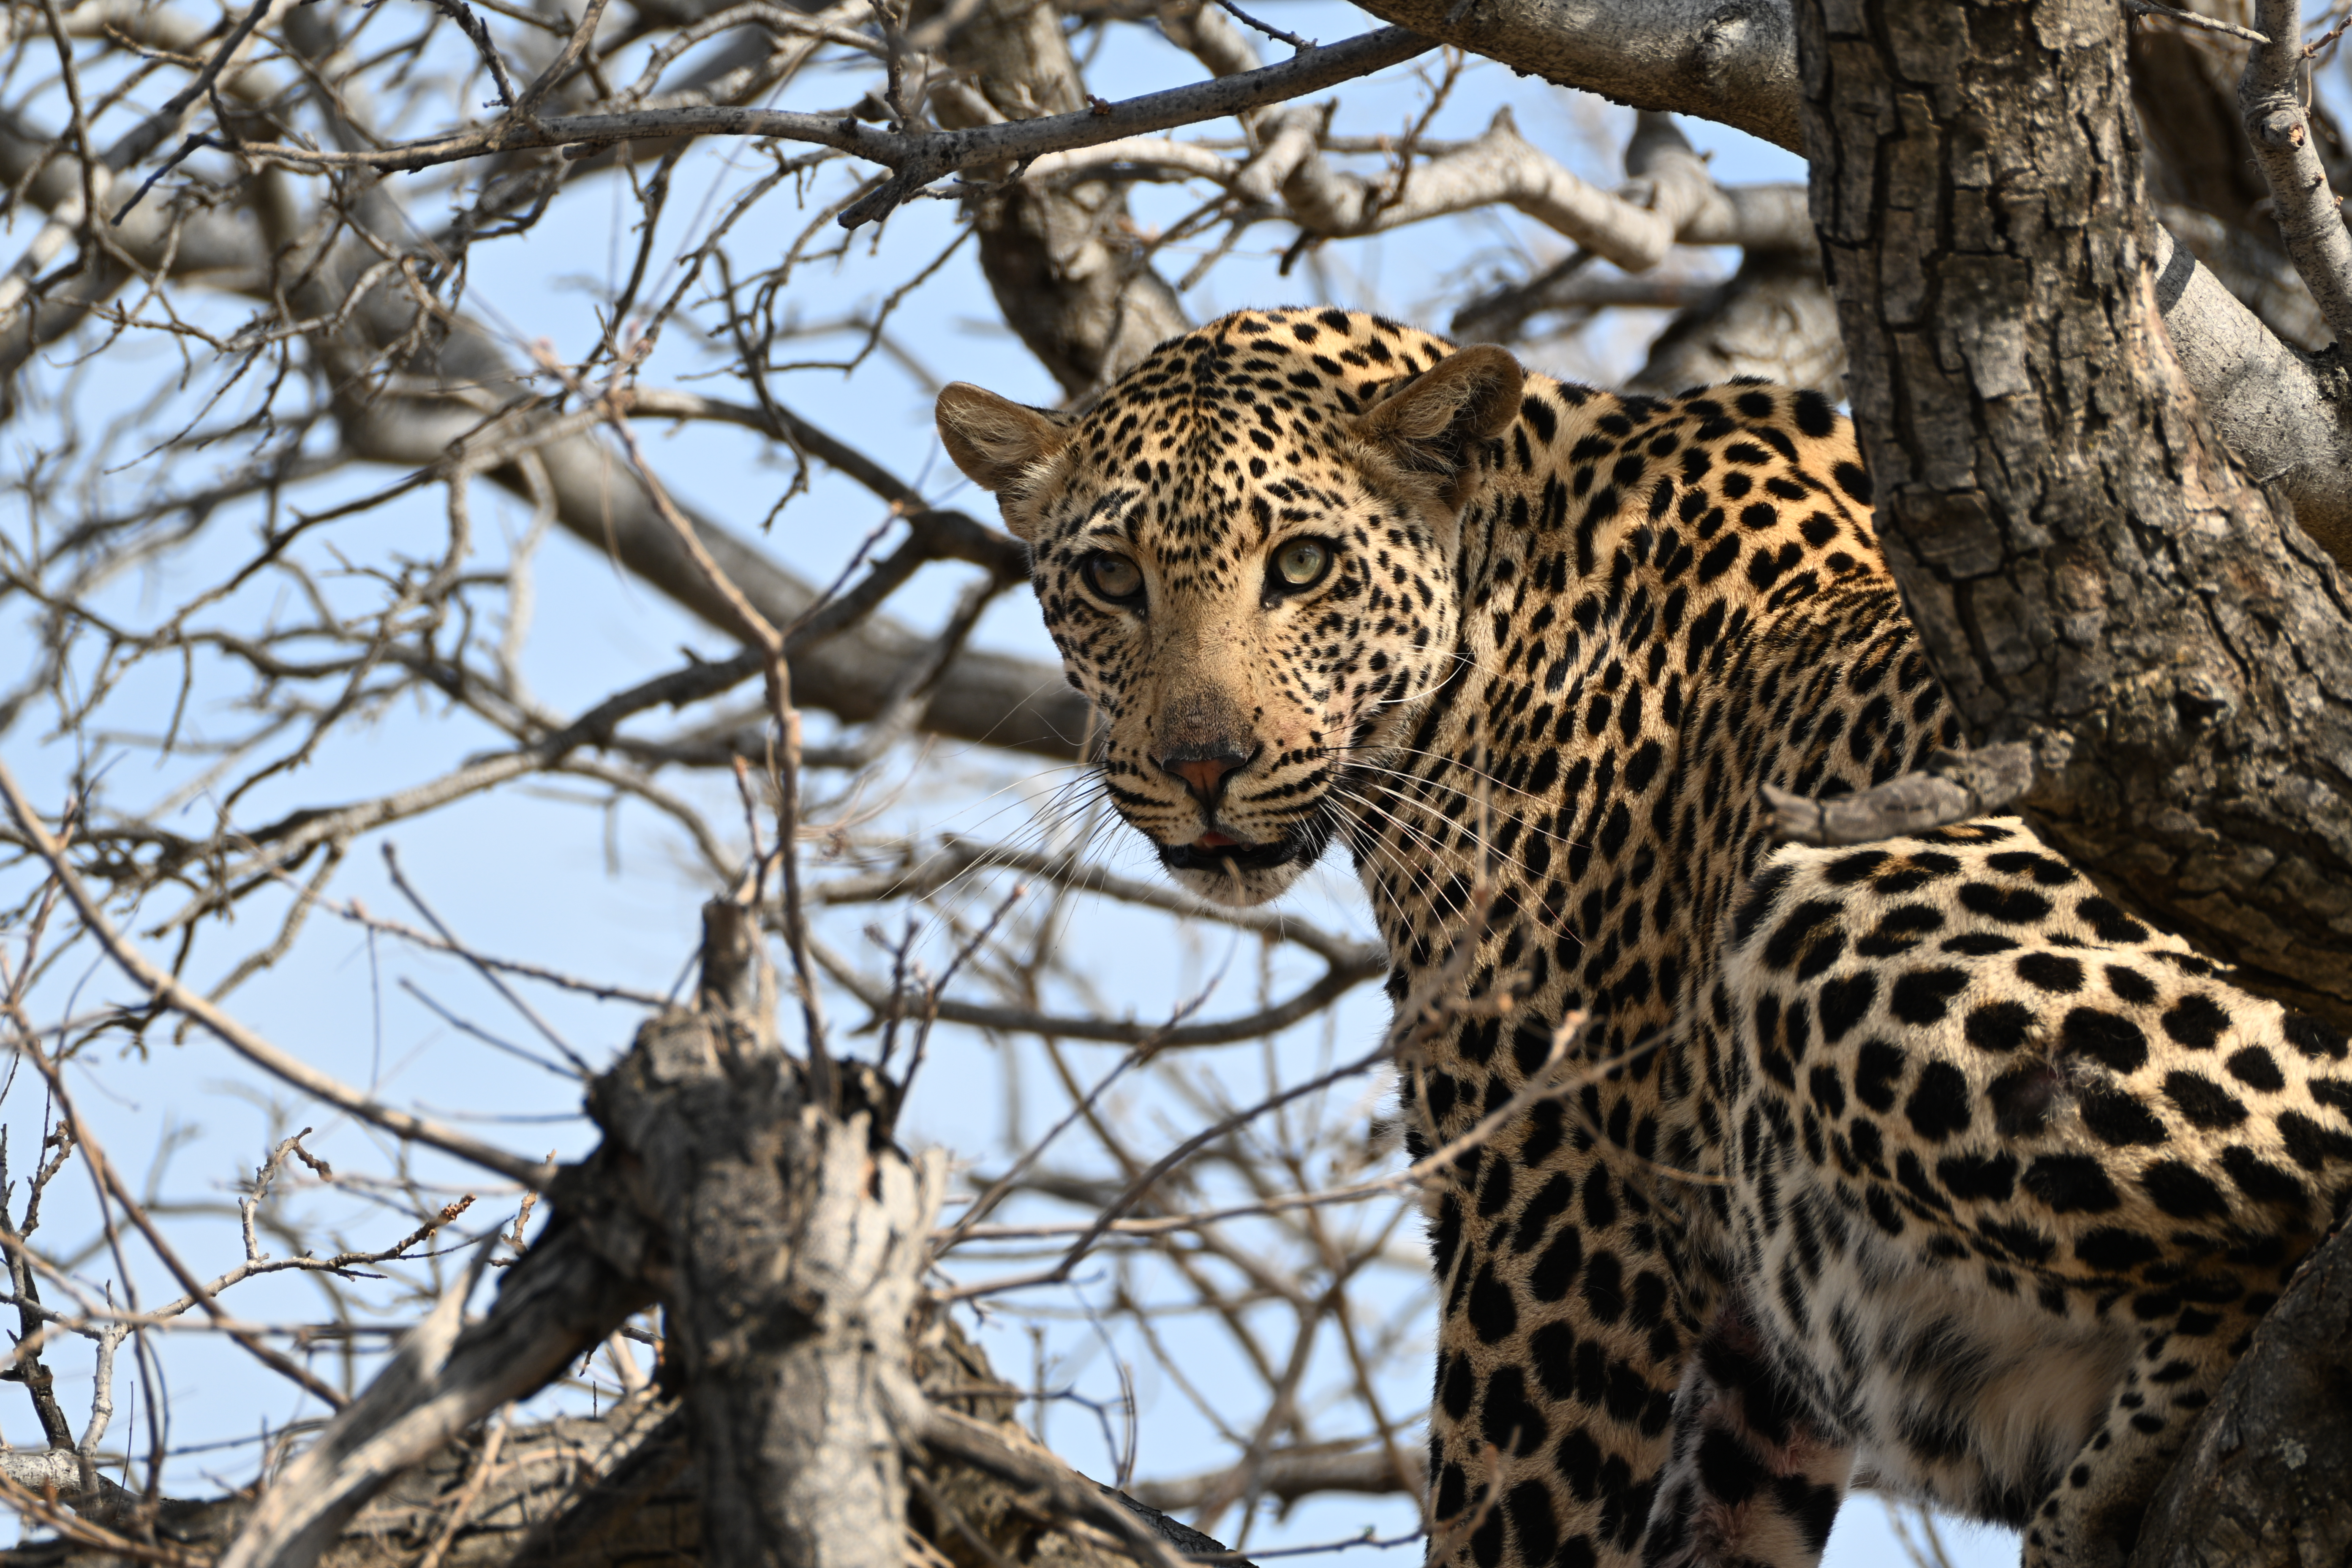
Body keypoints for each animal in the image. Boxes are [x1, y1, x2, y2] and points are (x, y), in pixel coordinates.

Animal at [933, 308, 2352, 1568]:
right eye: (1110, 579)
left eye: (1300, 567)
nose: (1203, 765)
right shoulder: (1748, 1347)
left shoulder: (1555, 1207)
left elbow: (1501, 1518)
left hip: (1824, 907)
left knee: (2288, 1203)